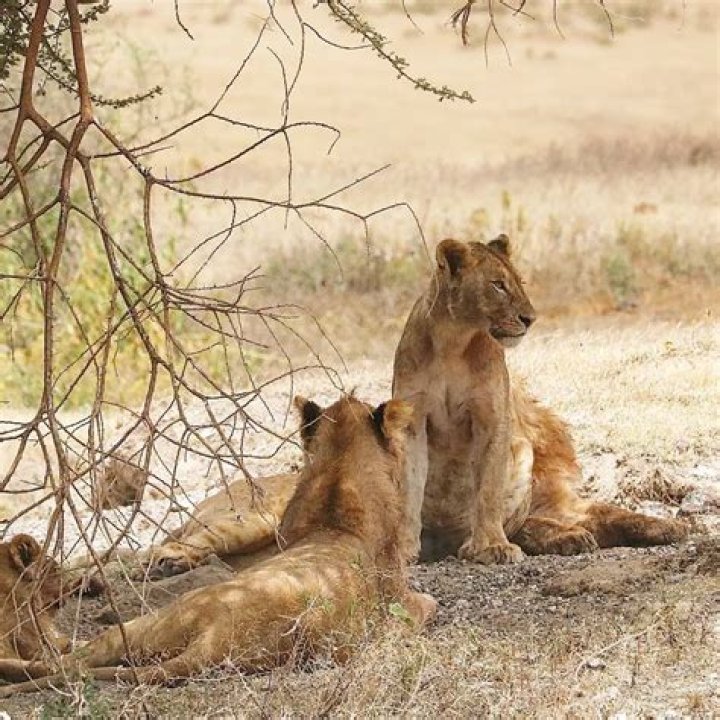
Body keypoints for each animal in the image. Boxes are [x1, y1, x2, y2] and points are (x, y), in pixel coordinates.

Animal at [0, 395, 436, 693]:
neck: (339, 480)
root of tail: (216, 641)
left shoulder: (406, 604)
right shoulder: (407, 602)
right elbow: (431, 602)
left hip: (148, 625)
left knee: (68, 663)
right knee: (66, 661)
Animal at [392, 235, 688, 564]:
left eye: (520, 282)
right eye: (498, 285)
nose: (530, 319)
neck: (453, 342)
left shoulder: (491, 417)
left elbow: (488, 489)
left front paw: (491, 545)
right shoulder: (412, 422)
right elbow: (409, 490)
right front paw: (404, 549)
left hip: (525, 462)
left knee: (577, 515)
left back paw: (664, 527)